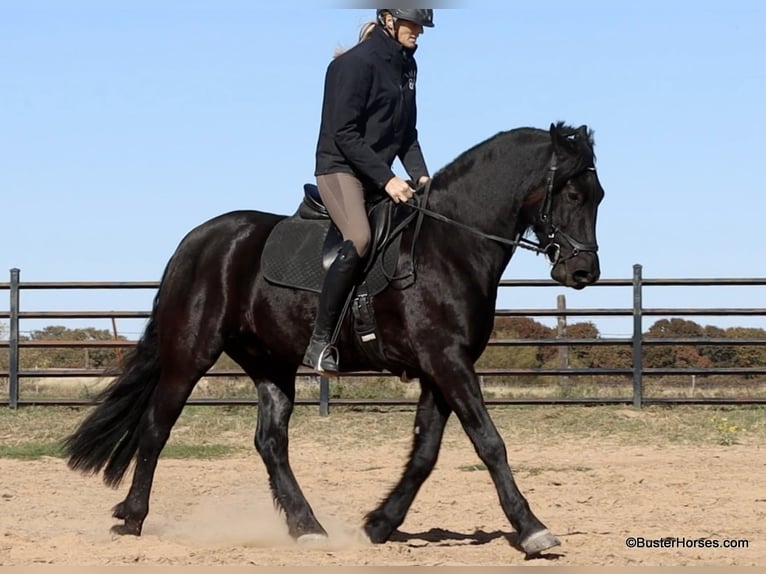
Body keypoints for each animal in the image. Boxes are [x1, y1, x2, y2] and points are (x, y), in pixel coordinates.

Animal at [66, 121, 608, 560]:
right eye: (574, 196)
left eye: (599, 195)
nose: (584, 271)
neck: (449, 246)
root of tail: (197, 241)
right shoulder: (448, 362)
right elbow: (489, 442)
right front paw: (533, 530)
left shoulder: (440, 367)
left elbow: (425, 453)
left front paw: (379, 524)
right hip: (189, 356)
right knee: (156, 427)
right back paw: (132, 519)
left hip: (271, 363)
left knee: (271, 442)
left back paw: (307, 527)